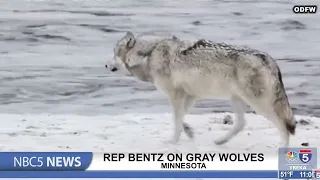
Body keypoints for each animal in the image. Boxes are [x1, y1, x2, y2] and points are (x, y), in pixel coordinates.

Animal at [106, 31, 296, 146]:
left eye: (114, 53)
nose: (106, 65)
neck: (150, 53)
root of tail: (269, 59)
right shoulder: (190, 95)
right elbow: (181, 118)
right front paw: (189, 132)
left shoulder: (175, 95)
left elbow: (176, 120)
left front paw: (173, 142)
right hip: (237, 99)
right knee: (241, 123)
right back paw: (220, 141)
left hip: (259, 104)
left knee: (283, 126)